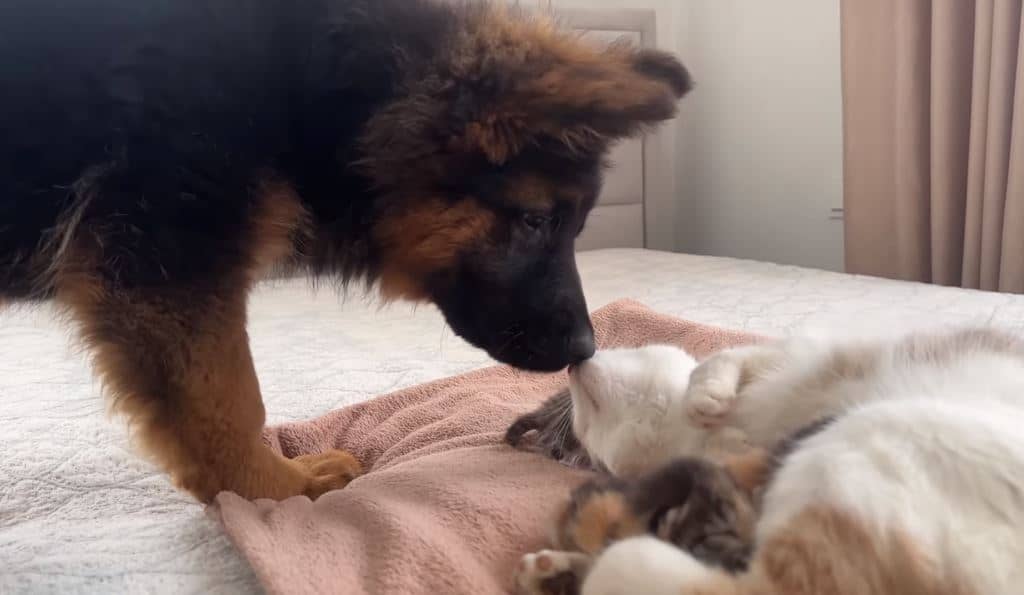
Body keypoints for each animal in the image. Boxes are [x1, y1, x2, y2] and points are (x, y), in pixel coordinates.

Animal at [0, 0, 692, 501]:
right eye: (534, 220)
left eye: (574, 226)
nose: (586, 348)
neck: (324, 87)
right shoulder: (175, 252)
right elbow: (227, 397)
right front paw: (271, 489)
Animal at [512, 327, 1024, 593]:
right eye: (582, 432)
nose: (571, 362)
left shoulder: (782, 357)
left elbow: (721, 360)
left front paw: (707, 397)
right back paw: (554, 569)